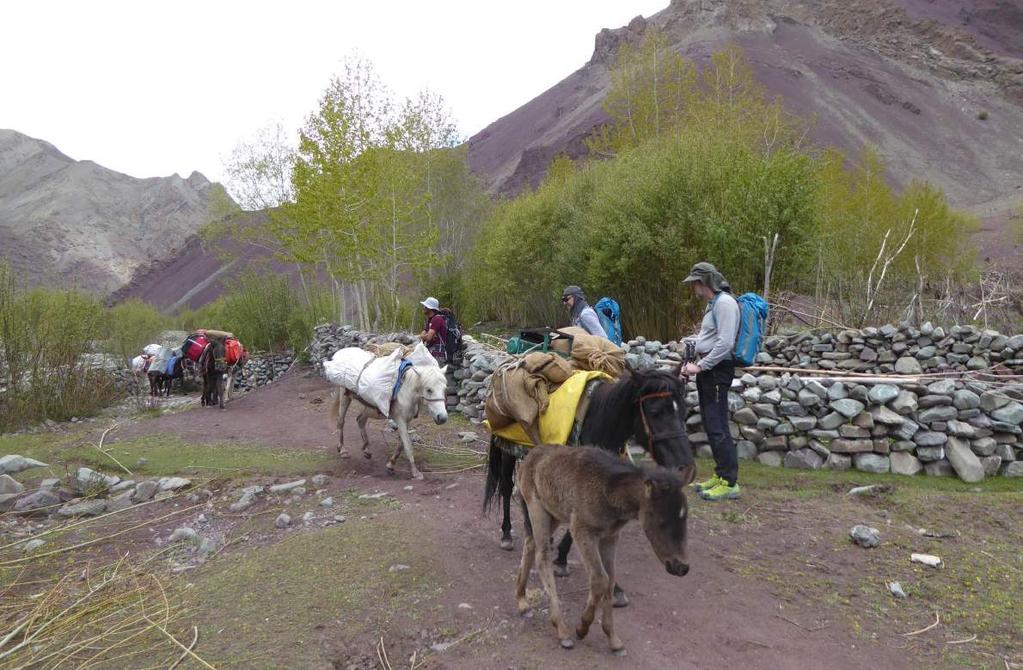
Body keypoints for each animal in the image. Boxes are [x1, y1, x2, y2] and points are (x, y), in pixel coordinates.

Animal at [519, 445, 695, 654]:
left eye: (684, 519)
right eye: (661, 522)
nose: (682, 567)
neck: (609, 491)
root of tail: (531, 454)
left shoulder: (610, 537)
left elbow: (610, 580)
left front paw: (612, 637)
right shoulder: (582, 530)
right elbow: (599, 579)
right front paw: (582, 627)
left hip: (553, 514)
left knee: (530, 544)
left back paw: (521, 601)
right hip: (537, 509)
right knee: (542, 556)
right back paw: (561, 629)